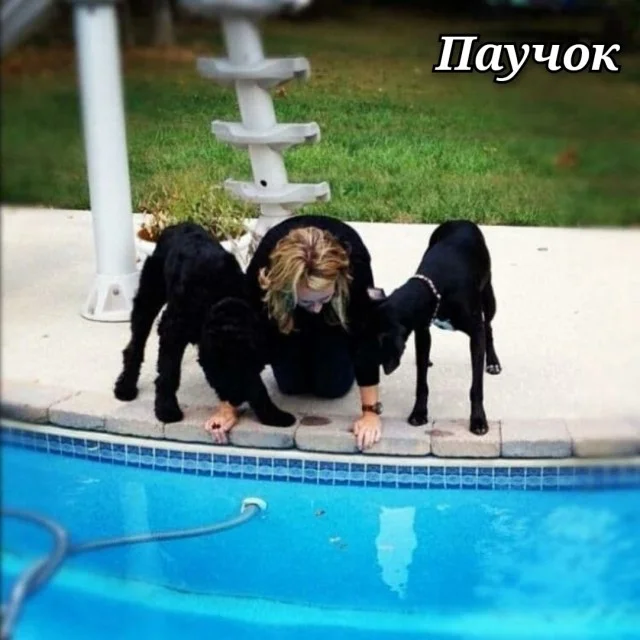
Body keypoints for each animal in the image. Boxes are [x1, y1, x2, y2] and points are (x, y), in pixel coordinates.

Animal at [114, 222, 296, 428]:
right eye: (221, 368)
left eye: (247, 367)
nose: (236, 399)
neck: (219, 295)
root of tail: (177, 226)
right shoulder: (172, 331)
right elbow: (169, 372)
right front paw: (166, 408)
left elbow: (258, 385)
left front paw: (272, 414)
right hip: (148, 298)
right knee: (135, 344)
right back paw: (125, 386)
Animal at [368, 220, 501, 435]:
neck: (435, 288)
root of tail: (461, 220)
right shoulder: (422, 331)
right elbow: (421, 382)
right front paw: (419, 412)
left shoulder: (476, 333)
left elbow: (476, 387)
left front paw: (478, 420)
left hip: (489, 297)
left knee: (488, 326)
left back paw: (493, 361)